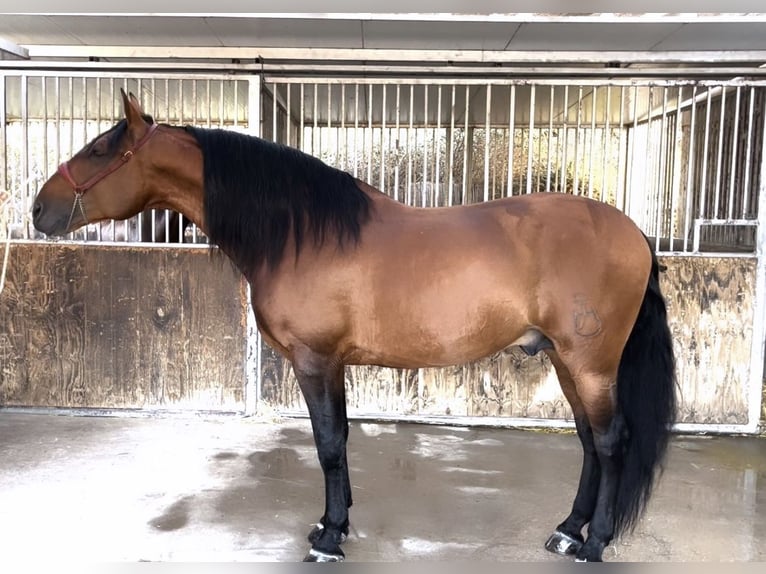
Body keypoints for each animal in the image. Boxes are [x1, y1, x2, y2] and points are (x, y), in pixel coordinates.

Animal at [31, 90, 680, 564]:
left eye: (99, 149)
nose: (39, 209)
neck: (300, 235)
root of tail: (634, 234)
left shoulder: (314, 360)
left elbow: (326, 444)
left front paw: (327, 538)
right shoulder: (332, 363)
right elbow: (338, 440)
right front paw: (334, 523)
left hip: (589, 363)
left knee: (611, 442)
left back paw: (595, 543)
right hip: (566, 362)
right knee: (590, 444)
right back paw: (569, 530)